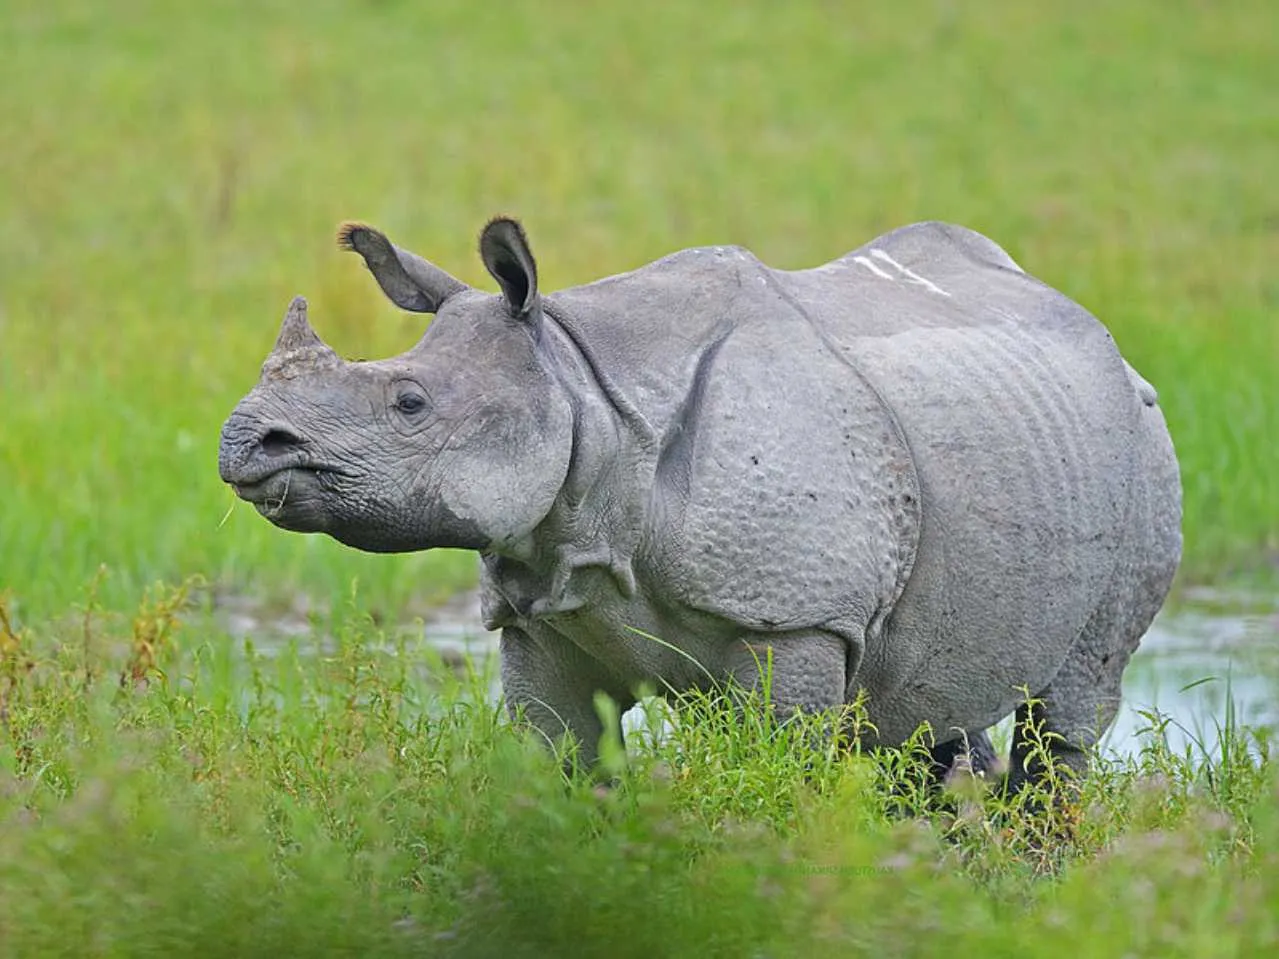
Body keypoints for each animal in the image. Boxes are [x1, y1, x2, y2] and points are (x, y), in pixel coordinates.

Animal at [217, 217, 1176, 787]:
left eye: (408, 404)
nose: (244, 440)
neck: (582, 387)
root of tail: (1092, 326)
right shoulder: (540, 609)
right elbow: (559, 762)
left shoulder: (795, 616)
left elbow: (775, 774)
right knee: (926, 708)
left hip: (1143, 443)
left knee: (1068, 710)